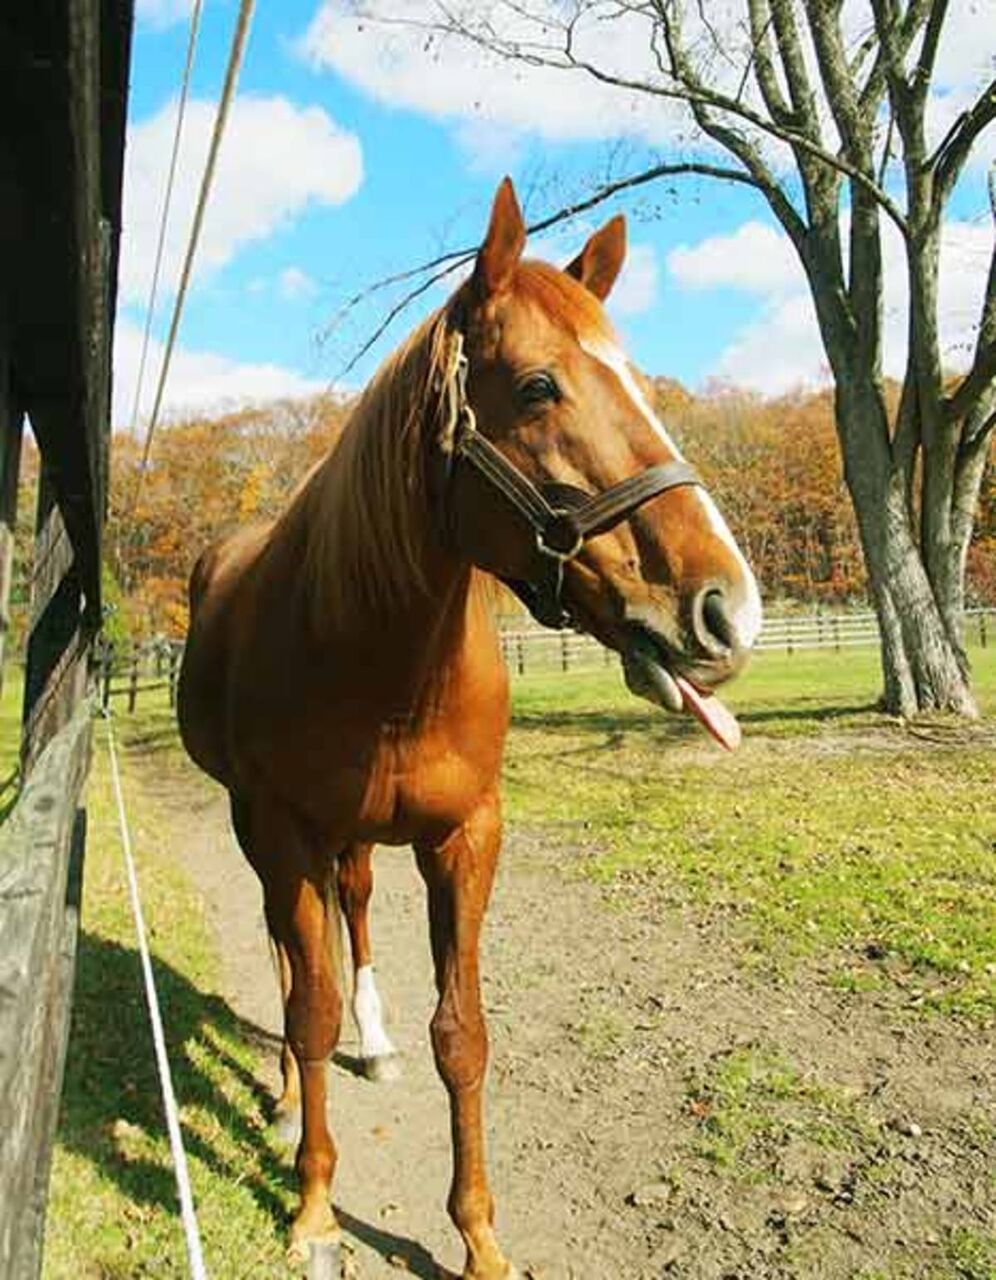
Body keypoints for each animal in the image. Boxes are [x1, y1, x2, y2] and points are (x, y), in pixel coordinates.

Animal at [177, 177, 761, 1279]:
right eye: (537, 387)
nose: (726, 611)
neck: (379, 652)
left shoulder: (465, 837)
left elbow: (464, 1034)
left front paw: (479, 1233)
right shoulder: (282, 828)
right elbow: (306, 1004)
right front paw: (314, 1206)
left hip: (356, 838)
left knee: (353, 908)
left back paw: (371, 1044)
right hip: (258, 827)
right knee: (287, 950)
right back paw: (288, 1093)